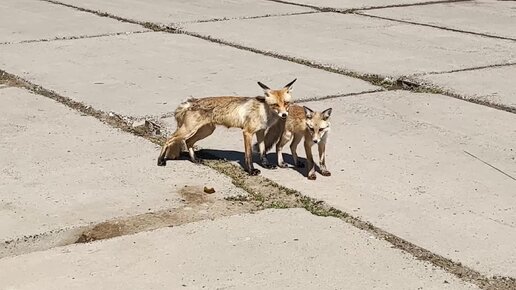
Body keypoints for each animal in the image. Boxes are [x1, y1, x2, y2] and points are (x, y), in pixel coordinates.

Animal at [156, 78, 298, 176]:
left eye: (286, 103)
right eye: (275, 105)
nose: (284, 115)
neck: (263, 111)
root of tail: (192, 101)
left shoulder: (261, 132)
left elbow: (263, 152)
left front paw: (266, 165)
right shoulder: (247, 132)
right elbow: (249, 155)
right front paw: (251, 171)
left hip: (206, 131)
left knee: (188, 142)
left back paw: (195, 159)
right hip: (189, 130)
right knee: (169, 140)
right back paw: (161, 160)